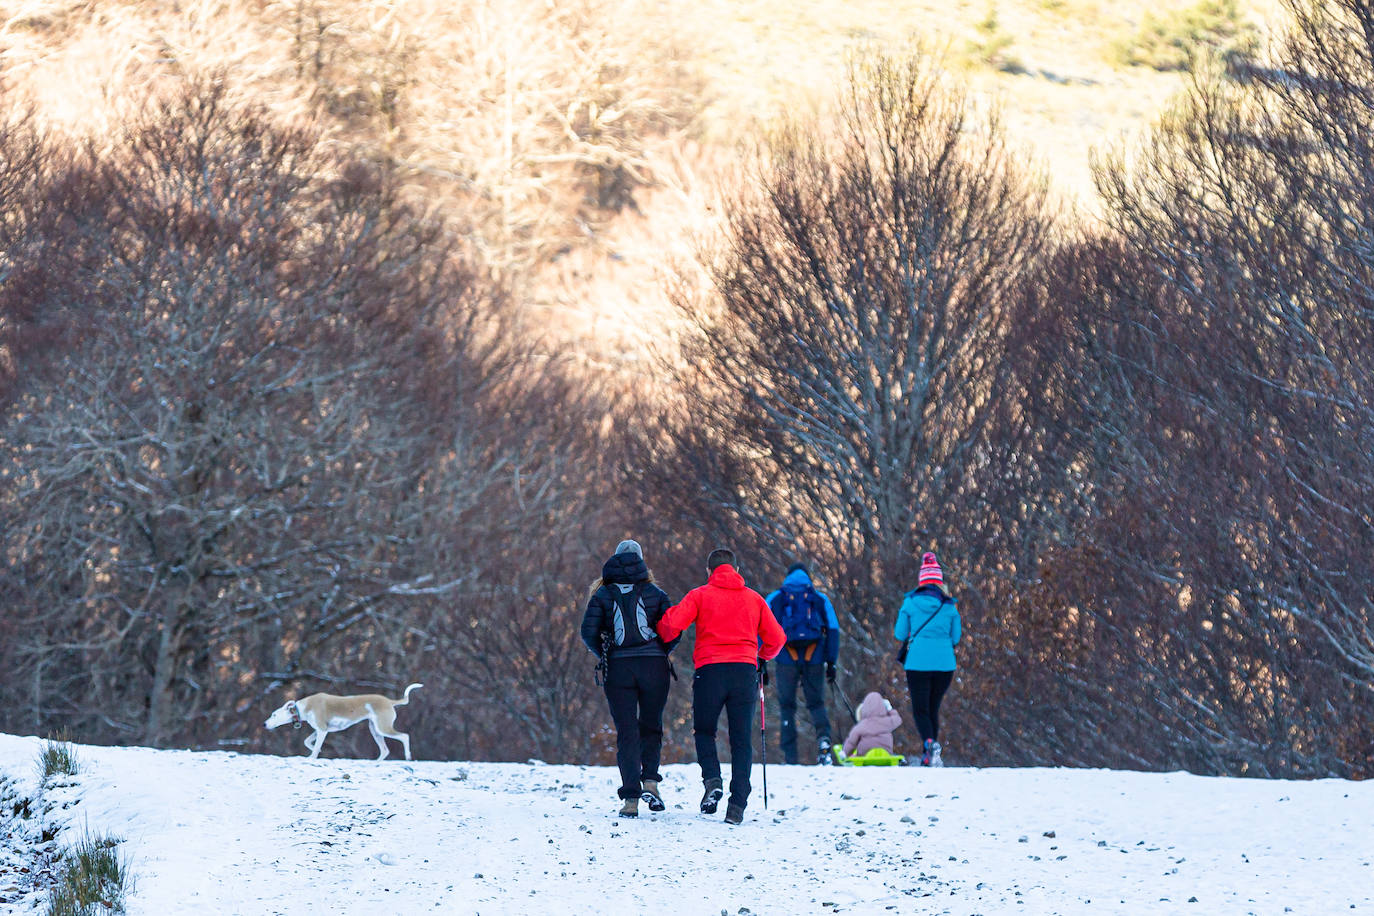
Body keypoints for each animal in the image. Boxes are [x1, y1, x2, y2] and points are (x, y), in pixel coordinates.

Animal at [265, 683, 420, 763]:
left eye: (274, 714)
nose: (265, 724)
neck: (304, 707)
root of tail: (389, 702)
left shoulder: (322, 730)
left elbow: (315, 747)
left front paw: (312, 757)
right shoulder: (319, 730)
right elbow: (307, 741)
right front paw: (316, 750)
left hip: (382, 727)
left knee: (405, 736)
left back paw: (408, 756)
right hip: (375, 730)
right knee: (385, 750)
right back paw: (376, 763)